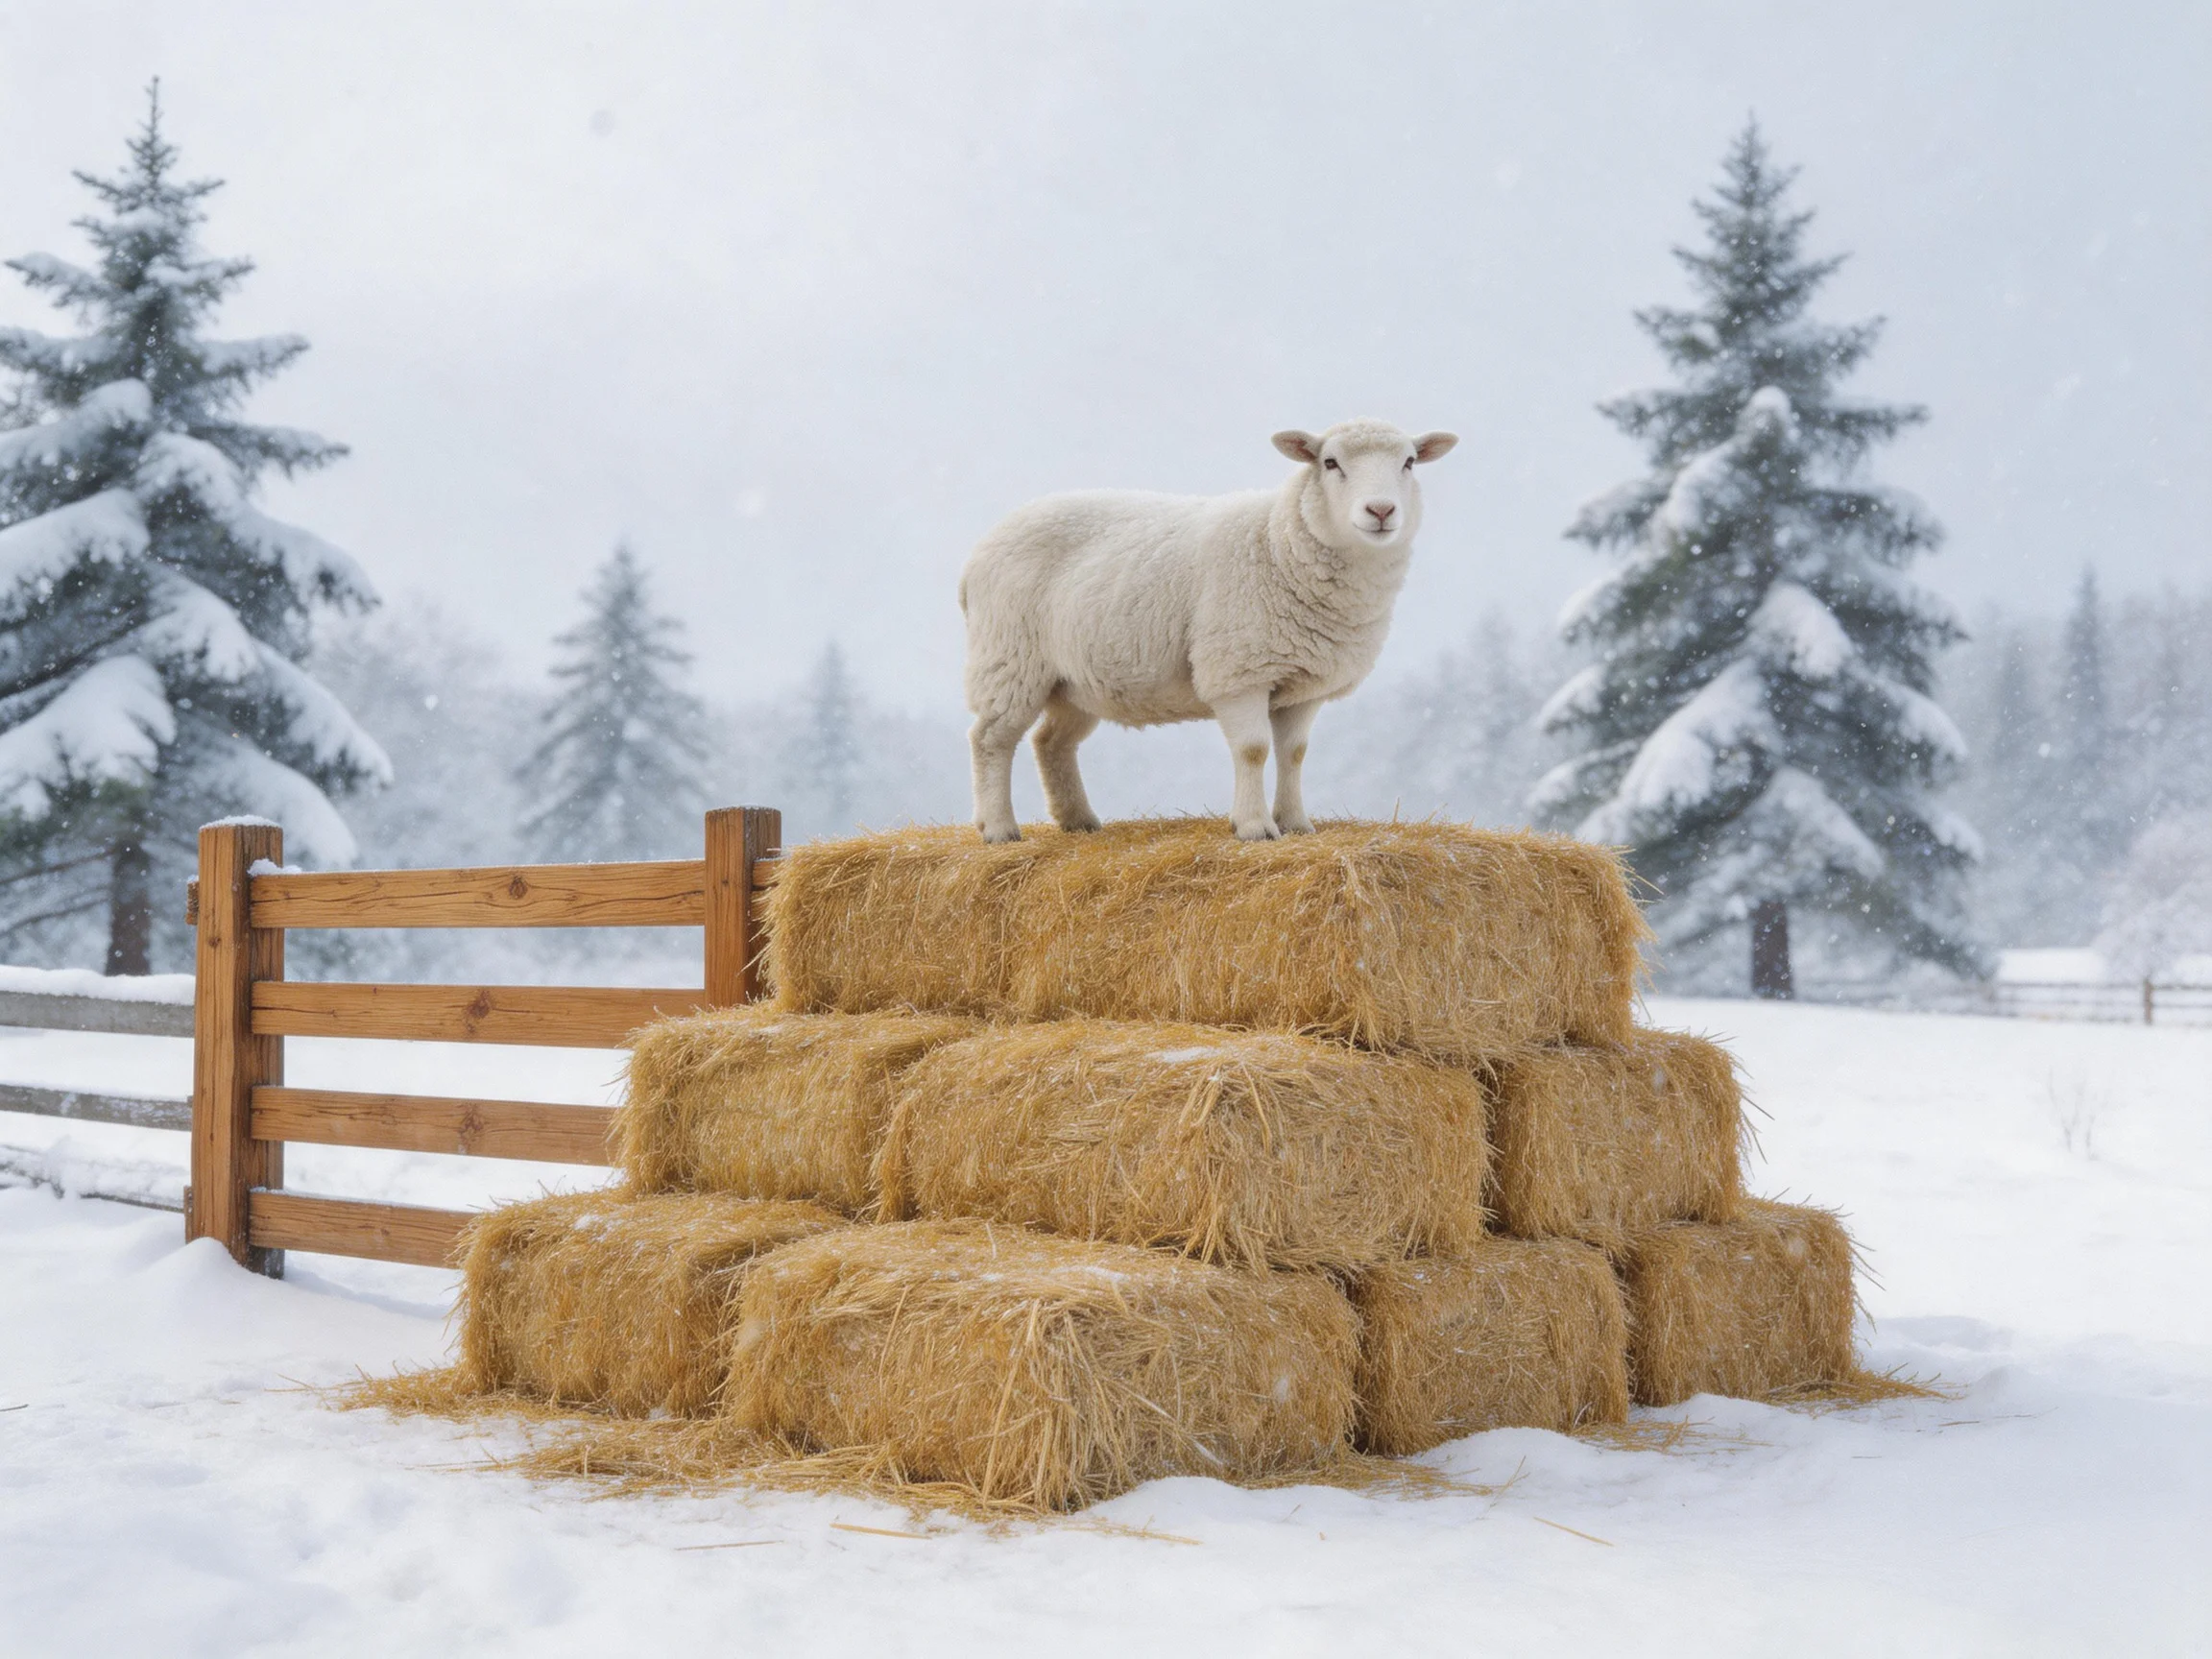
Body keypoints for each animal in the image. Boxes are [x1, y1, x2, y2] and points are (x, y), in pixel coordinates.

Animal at [960, 418, 1458, 842]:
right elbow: (1254, 750)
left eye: (1408, 462)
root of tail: (978, 553)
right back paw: (999, 829)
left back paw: (1078, 821)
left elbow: (1294, 754)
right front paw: (1255, 827)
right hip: (1009, 659)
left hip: (1074, 680)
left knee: (1050, 742)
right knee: (990, 739)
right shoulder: (1239, 670)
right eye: (1330, 462)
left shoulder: (1305, 684)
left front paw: (1296, 824)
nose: (1381, 510)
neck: (1277, 541)